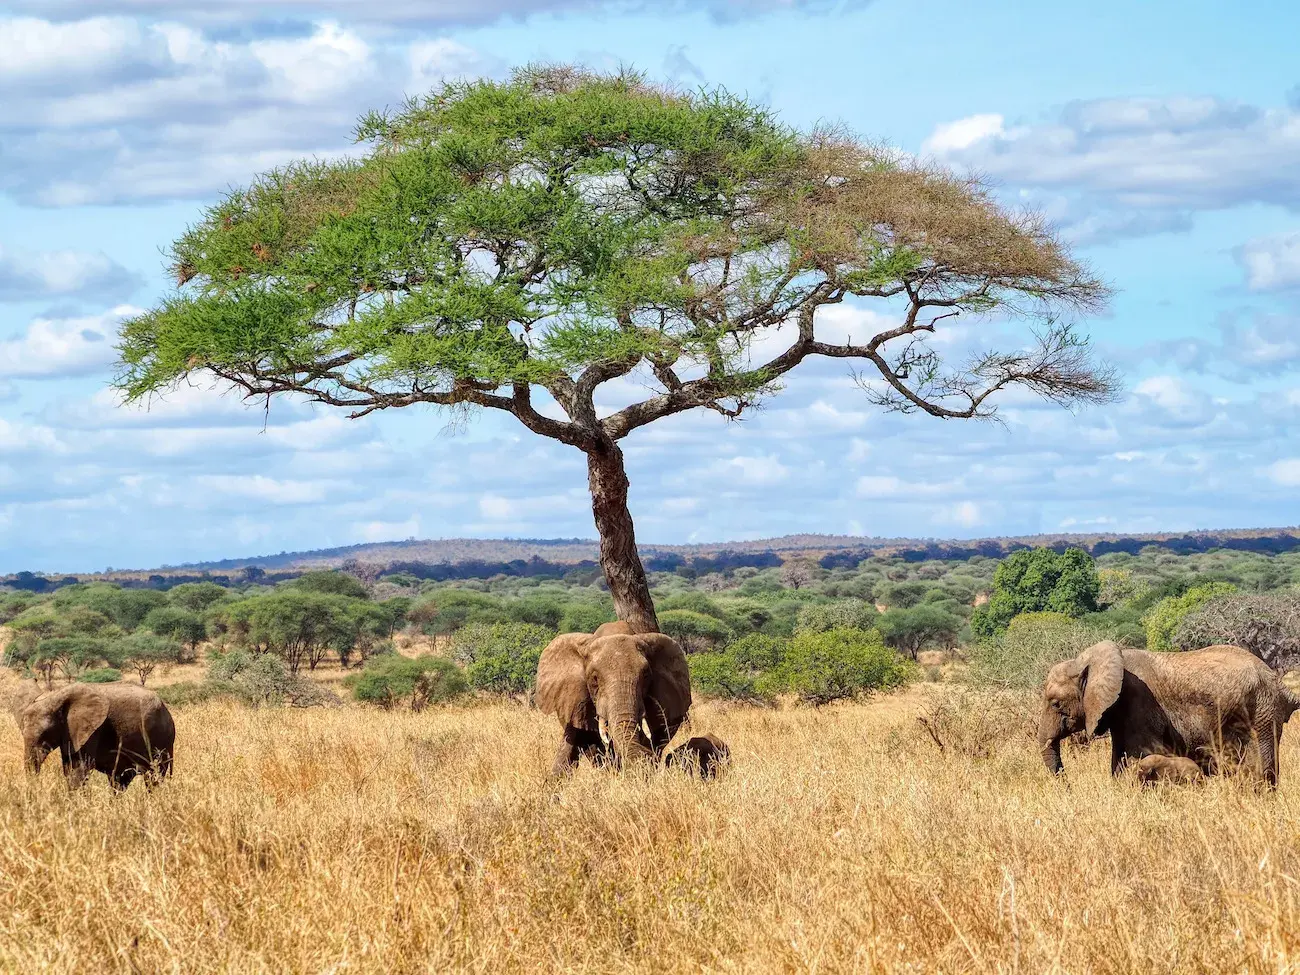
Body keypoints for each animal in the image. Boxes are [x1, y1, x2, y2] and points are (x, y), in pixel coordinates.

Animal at [15, 681, 174, 790]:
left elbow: (78, 769)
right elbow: (69, 766)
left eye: (45, 734)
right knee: (119, 781)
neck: (55, 697)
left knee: (153, 777)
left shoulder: (92, 731)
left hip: (161, 740)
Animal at [1034, 642, 1300, 795]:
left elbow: (1140, 757)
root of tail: (1278, 683)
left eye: (1056, 704)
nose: (1069, 789)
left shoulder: (1139, 703)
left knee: (1257, 770)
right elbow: (1119, 760)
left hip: (1261, 715)